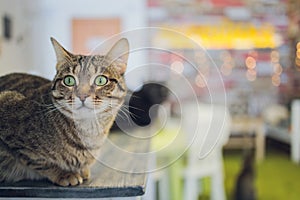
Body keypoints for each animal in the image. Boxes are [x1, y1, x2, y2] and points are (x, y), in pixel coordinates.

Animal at [0, 37, 129, 186]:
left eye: (101, 80)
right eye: (69, 80)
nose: (82, 95)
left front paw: (81, 170)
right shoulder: (6, 103)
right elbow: (38, 161)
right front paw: (64, 173)